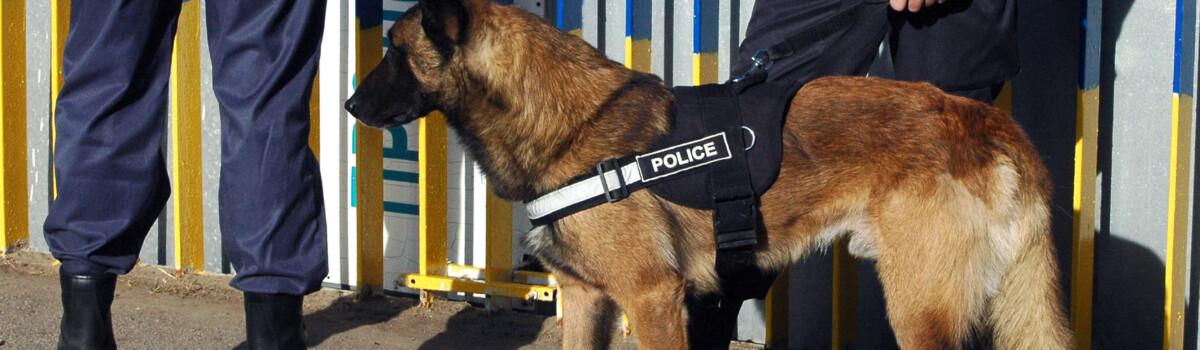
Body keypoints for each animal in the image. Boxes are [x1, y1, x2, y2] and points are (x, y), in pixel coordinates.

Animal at [343, 0, 1075, 347]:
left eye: (395, 52)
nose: (347, 105)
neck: (571, 123)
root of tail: (979, 117)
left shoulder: (651, 298)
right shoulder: (584, 299)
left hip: (920, 307)